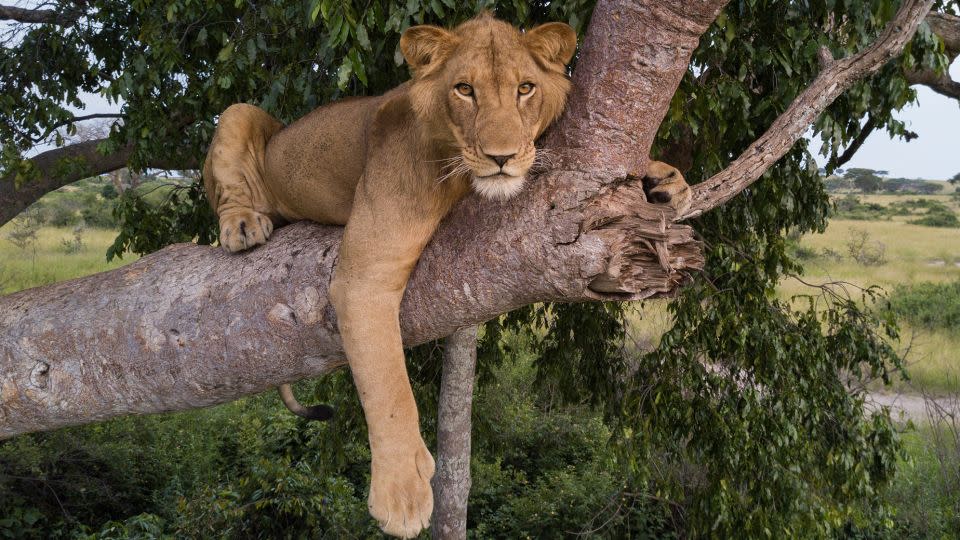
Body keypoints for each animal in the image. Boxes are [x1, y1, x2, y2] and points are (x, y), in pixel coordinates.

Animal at [202, 12, 688, 540]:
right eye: (464, 90)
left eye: (525, 88)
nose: (501, 157)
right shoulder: (363, 278)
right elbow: (387, 383)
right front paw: (401, 492)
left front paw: (665, 179)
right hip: (238, 113)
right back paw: (243, 225)